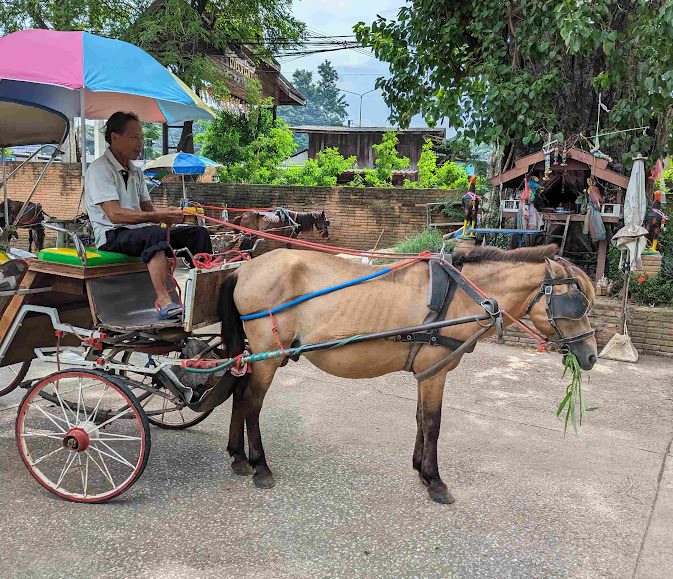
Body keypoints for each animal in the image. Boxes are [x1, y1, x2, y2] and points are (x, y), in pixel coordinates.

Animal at [218, 247, 596, 506]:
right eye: (577, 304)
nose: (590, 356)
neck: (463, 297)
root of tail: (245, 268)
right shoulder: (436, 371)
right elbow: (433, 423)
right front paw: (436, 481)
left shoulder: (425, 372)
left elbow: (419, 418)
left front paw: (420, 470)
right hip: (269, 356)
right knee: (252, 402)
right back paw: (260, 467)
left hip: (259, 355)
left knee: (239, 392)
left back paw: (238, 457)